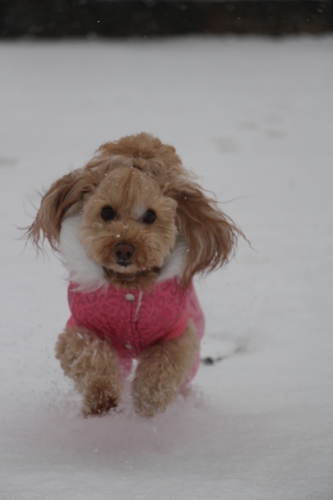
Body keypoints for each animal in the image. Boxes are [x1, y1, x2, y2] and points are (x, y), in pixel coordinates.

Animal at [27, 132, 239, 418]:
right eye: (106, 212)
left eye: (150, 216)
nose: (124, 248)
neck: (129, 285)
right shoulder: (80, 328)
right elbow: (87, 352)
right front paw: (101, 396)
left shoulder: (178, 333)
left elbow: (164, 364)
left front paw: (148, 401)